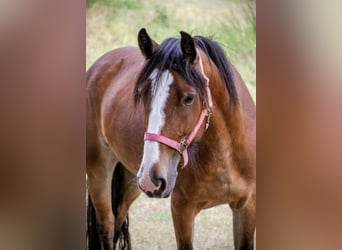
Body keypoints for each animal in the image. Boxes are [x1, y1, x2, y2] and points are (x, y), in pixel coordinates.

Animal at [87, 28, 255, 249]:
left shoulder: (246, 207)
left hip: (131, 181)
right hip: (100, 172)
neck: (224, 157)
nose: (151, 178)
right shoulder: (181, 209)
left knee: (118, 219)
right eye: (141, 94)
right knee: (106, 225)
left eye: (189, 98)